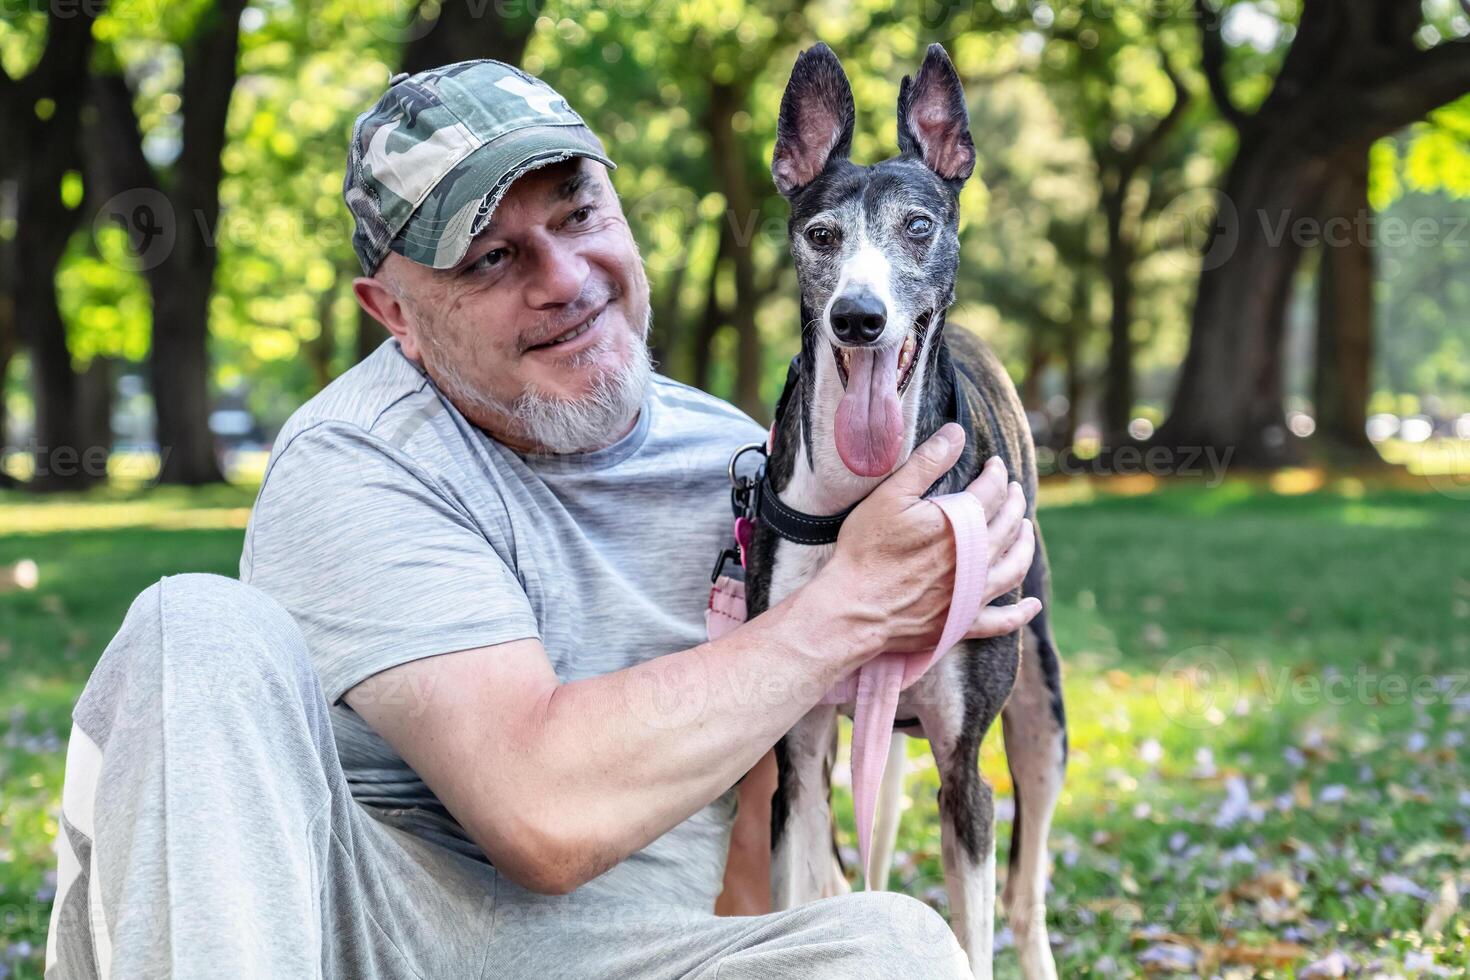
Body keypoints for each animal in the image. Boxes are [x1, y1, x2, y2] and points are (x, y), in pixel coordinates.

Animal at [746, 42, 1070, 975]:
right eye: (821, 235)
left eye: (918, 226)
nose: (859, 318)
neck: (866, 503)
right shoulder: (798, 761)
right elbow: (802, 898)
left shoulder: (967, 774)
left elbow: (976, 934)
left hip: (1040, 712)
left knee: (1027, 896)